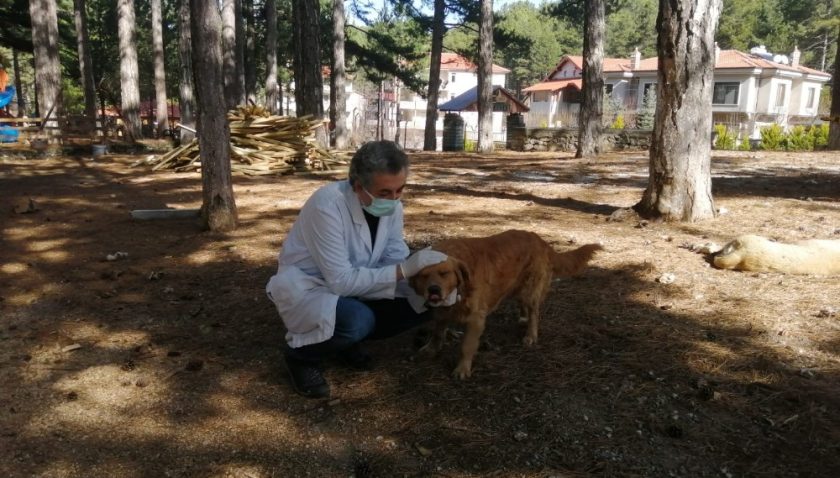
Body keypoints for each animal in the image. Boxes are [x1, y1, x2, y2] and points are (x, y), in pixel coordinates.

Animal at [410, 230, 600, 380]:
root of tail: (540, 240)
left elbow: (467, 346)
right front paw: (431, 349)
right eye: (423, 275)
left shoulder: (476, 319)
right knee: (523, 306)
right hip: (518, 287)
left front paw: (462, 369)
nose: (434, 289)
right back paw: (522, 319)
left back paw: (530, 335)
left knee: (534, 313)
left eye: (444, 273)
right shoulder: (441, 313)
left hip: (530, 290)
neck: (460, 288)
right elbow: (437, 333)